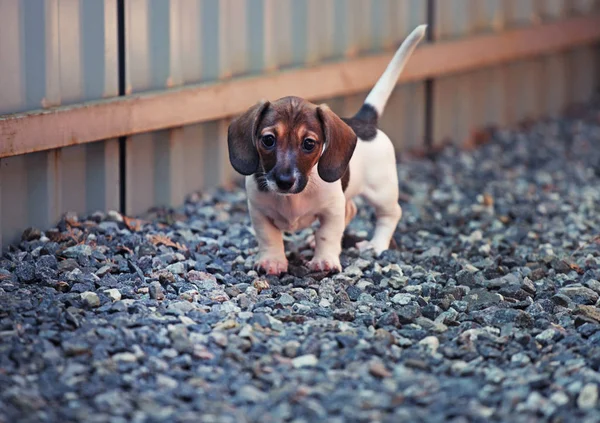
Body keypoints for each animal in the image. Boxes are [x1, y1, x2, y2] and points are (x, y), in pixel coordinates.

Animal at [225, 24, 426, 276]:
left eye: (309, 143)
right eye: (268, 140)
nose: (284, 182)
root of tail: (364, 120)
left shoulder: (331, 211)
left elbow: (327, 235)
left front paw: (325, 260)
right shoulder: (259, 212)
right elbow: (269, 237)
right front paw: (273, 261)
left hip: (382, 191)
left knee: (390, 214)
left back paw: (376, 244)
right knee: (351, 210)